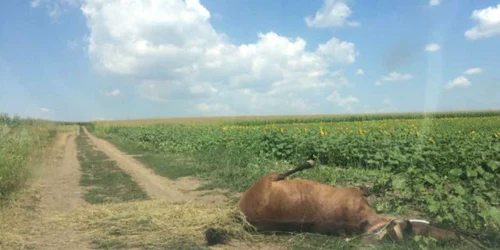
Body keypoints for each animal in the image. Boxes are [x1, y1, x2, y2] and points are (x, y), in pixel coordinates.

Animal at [206, 161, 460, 245]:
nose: (407, 223)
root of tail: (240, 213)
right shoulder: (357, 194)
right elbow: (366, 188)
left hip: (267, 180)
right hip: (269, 178)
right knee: (286, 172)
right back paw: (307, 163)